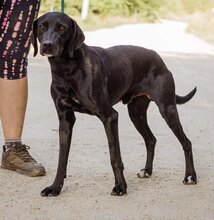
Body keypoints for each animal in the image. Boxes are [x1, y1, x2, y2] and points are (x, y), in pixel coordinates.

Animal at [31, 12, 197, 196]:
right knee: (151, 140)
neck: (66, 69)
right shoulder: (65, 119)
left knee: (186, 142)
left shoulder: (109, 117)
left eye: (61, 28)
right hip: (136, 114)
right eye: (42, 26)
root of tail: (159, 58)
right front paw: (55, 187)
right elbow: (62, 158)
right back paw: (147, 171)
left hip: (167, 109)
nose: (47, 45)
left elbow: (114, 157)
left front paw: (121, 187)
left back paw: (190, 176)